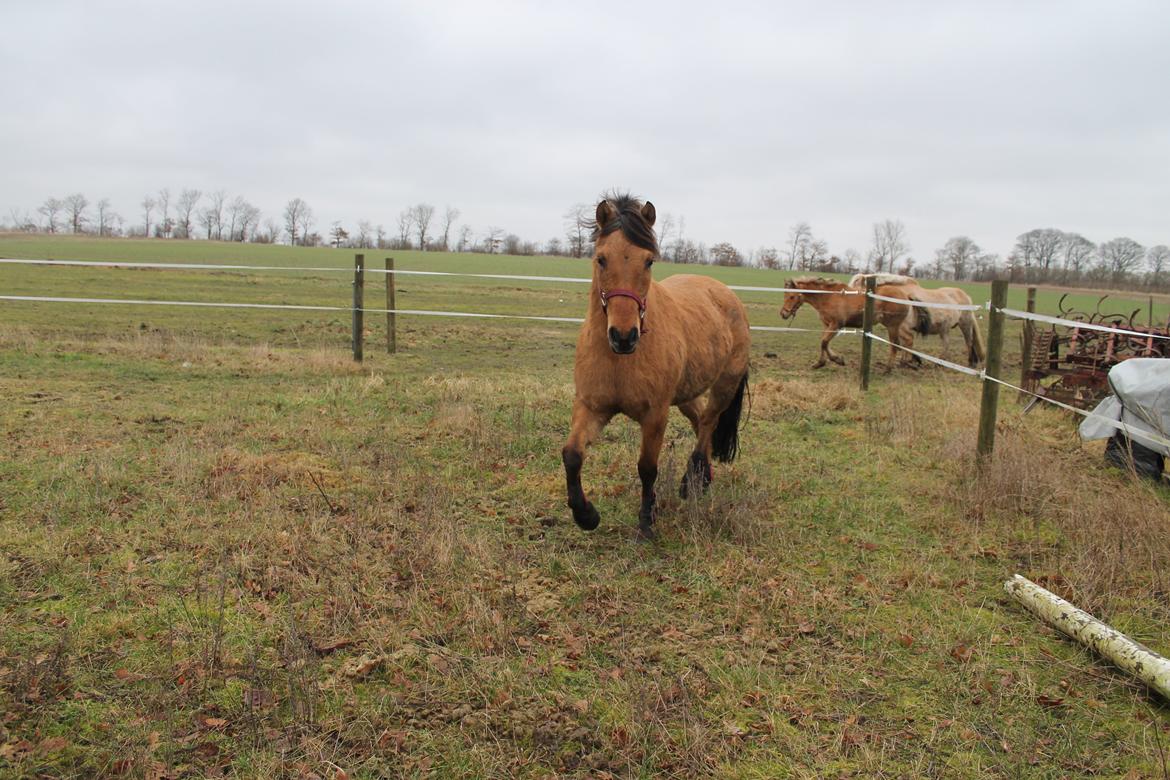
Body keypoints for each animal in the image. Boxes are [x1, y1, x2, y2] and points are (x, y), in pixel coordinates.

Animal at [563, 191, 748, 540]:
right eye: (601, 259)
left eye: (648, 260)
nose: (624, 336)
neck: (620, 360)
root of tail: (725, 293)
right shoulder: (591, 407)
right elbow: (572, 455)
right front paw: (586, 516)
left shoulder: (655, 416)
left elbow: (647, 468)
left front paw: (647, 521)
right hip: (687, 394)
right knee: (701, 420)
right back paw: (704, 479)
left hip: (725, 386)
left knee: (708, 423)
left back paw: (692, 482)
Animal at [776, 277, 921, 369]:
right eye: (785, 296)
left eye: (792, 296)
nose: (783, 314)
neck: (827, 296)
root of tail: (905, 295)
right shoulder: (827, 325)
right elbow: (824, 343)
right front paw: (822, 363)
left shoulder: (836, 325)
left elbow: (824, 342)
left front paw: (836, 360)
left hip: (893, 326)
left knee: (895, 345)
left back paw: (888, 369)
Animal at [851, 273, 987, 367]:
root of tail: (965, 295)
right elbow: (905, 344)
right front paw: (909, 360)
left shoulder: (902, 328)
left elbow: (906, 343)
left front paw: (907, 361)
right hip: (944, 330)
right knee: (947, 344)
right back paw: (940, 362)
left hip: (965, 325)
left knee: (968, 343)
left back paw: (970, 362)